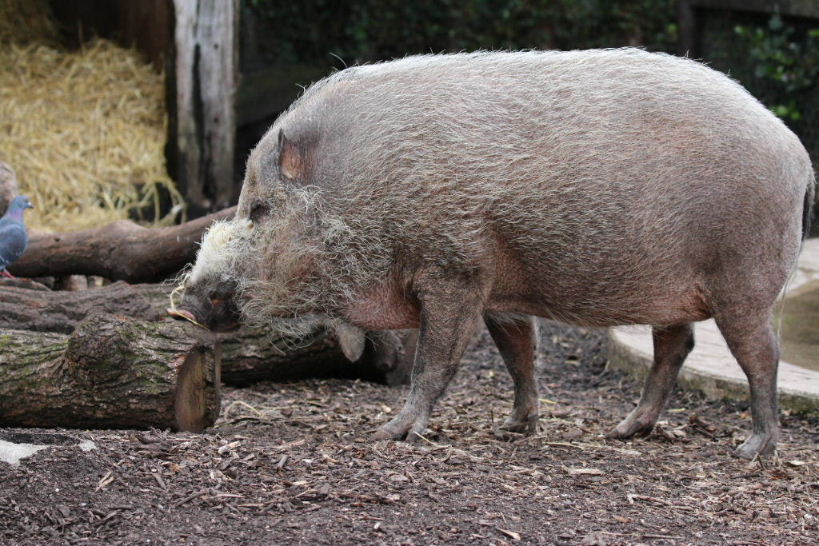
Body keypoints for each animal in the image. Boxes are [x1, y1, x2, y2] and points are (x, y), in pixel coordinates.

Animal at [178, 49, 815, 459]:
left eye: (259, 209)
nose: (182, 302)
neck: (359, 191)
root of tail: (794, 149)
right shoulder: (497, 287)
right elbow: (518, 355)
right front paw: (513, 429)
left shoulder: (452, 270)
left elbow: (436, 361)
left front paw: (389, 435)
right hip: (672, 288)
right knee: (676, 347)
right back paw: (623, 432)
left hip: (744, 278)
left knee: (763, 353)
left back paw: (751, 450)